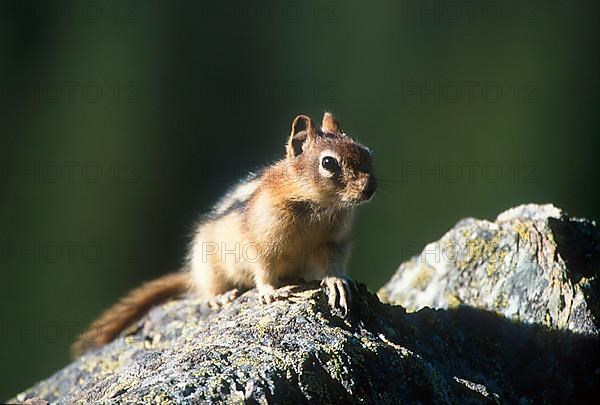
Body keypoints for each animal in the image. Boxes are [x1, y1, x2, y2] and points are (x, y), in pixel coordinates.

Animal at [71, 113, 376, 354]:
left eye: (367, 152)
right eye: (329, 163)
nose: (369, 188)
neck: (317, 207)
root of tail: (192, 275)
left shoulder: (334, 242)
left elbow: (333, 264)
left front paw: (337, 282)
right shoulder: (261, 241)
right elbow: (263, 269)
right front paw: (271, 292)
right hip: (207, 264)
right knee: (206, 291)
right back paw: (219, 297)